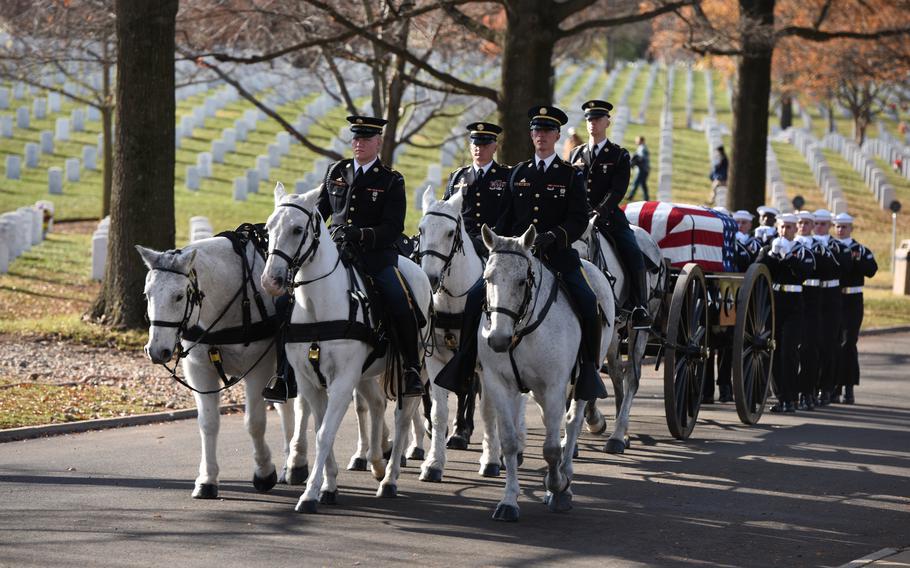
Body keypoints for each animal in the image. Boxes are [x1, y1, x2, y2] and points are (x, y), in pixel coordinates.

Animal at [137, 237, 304, 500]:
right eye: (147, 295)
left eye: (178, 296)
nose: (156, 350)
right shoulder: (200, 370)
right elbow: (208, 423)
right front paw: (207, 479)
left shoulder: (259, 369)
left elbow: (255, 423)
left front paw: (264, 472)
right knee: (286, 407)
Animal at [260, 183, 432, 516]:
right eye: (268, 228)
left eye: (297, 229)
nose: (271, 281)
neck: (317, 306)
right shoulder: (309, 381)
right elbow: (319, 429)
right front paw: (328, 486)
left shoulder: (341, 380)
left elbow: (325, 433)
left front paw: (310, 494)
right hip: (364, 375)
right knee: (376, 404)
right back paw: (375, 461)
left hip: (408, 369)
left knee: (402, 418)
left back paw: (389, 479)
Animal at [416, 189, 510, 482]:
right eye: (421, 229)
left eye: (450, 233)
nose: (430, 278)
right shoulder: (436, 359)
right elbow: (439, 410)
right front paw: (434, 463)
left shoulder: (480, 361)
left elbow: (488, 407)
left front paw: (491, 459)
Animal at [480, 225, 616, 520]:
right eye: (487, 278)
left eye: (522, 281)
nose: (497, 340)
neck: (520, 330)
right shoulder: (499, 384)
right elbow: (509, 442)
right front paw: (509, 501)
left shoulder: (555, 386)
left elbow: (552, 449)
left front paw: (558, 486)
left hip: (578, 382)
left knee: (572, 423)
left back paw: (565, 479)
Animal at [572, 220, 668, 454]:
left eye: (583, 254)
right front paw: (591, 420)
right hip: (614, 335)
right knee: (616, 373)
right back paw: (619, 431)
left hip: (639, 328)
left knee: (632, 376)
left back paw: (617, 435)